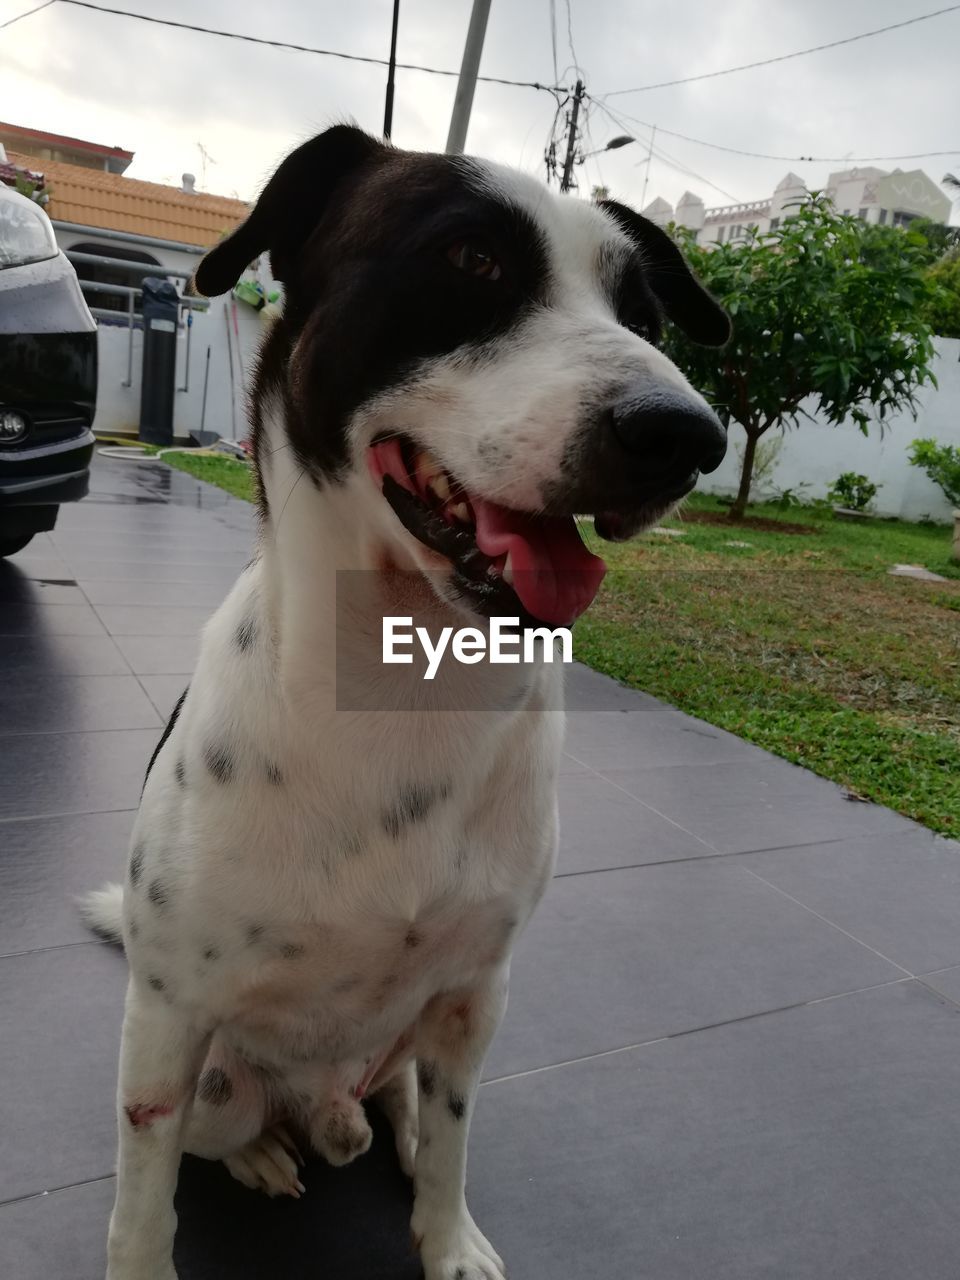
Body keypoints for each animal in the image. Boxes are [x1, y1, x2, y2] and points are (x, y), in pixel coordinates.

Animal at [84, 122, 727, 1280]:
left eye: (646, 319)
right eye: (471, 260)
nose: (686, 435)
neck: (409, 675)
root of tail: (323, 1105)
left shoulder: (478, 991)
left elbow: (459, 1138)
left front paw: (449, 1235)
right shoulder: (168, 1017)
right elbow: (142, 1207)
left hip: (421, 1035)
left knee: (404, 1103)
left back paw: (392, 1128)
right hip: (213, 1080)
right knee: (224, 1128)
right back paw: (266, 1153)